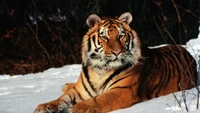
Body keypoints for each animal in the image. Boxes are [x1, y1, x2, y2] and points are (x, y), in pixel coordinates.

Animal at [34, 11, 197, 112]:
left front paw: (78, 108)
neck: (100, 69)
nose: (117, 52)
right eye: (104, 37)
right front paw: (44, 107)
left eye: (121, 36)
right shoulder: (80, 90)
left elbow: (99, 99)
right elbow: (62, 98)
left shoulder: (122, 91)